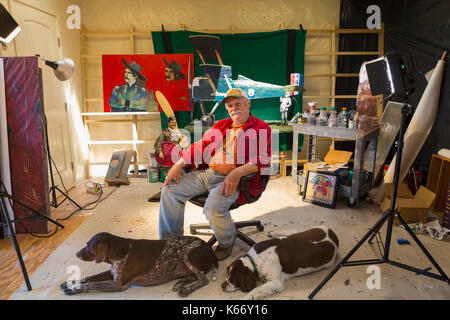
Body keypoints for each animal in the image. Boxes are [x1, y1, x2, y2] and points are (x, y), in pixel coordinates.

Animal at [59, 232, 218, 298]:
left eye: (88, 246)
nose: (76, 254)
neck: (120, 252)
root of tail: (208, 247)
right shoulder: (111, 273)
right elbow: (89, 278)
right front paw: (69, 283)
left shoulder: (119, 285)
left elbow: (91, 285)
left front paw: (72, 289)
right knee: (196, 276)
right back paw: (180, 283)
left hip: (187, 254)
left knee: (204, 279)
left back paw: (186, 290)